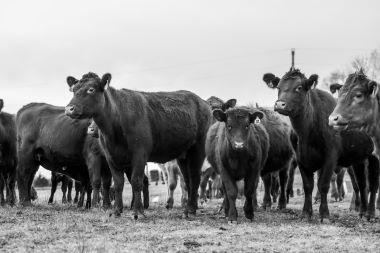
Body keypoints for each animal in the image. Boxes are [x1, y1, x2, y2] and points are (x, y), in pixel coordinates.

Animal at [66, 72, 214, 218]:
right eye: (73, 90)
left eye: (91, 89)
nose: (69, 109)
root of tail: (202, 102)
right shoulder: (111, 157)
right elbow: (118, 184)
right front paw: (116, 211)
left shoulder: (139, 154)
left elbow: (137, 182)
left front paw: (138, 211)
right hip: (183, 155)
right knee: (188, 179)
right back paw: (190, 208)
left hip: (198, 149)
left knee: (195, 177)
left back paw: (190, 209)